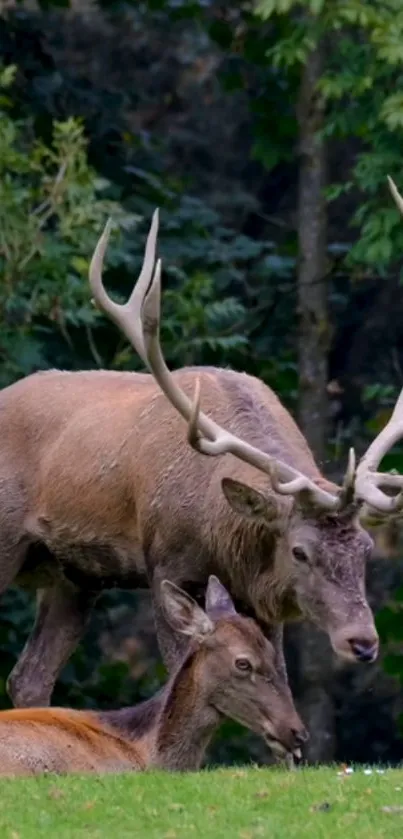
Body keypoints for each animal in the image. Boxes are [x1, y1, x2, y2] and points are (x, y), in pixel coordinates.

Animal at [0, 182, 403, 708]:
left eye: (367, 548)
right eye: (299, 551)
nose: (363, 641)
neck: (223, 533)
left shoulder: (256, 598)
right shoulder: (168, 565)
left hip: (75, 576)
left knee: (29, 675)